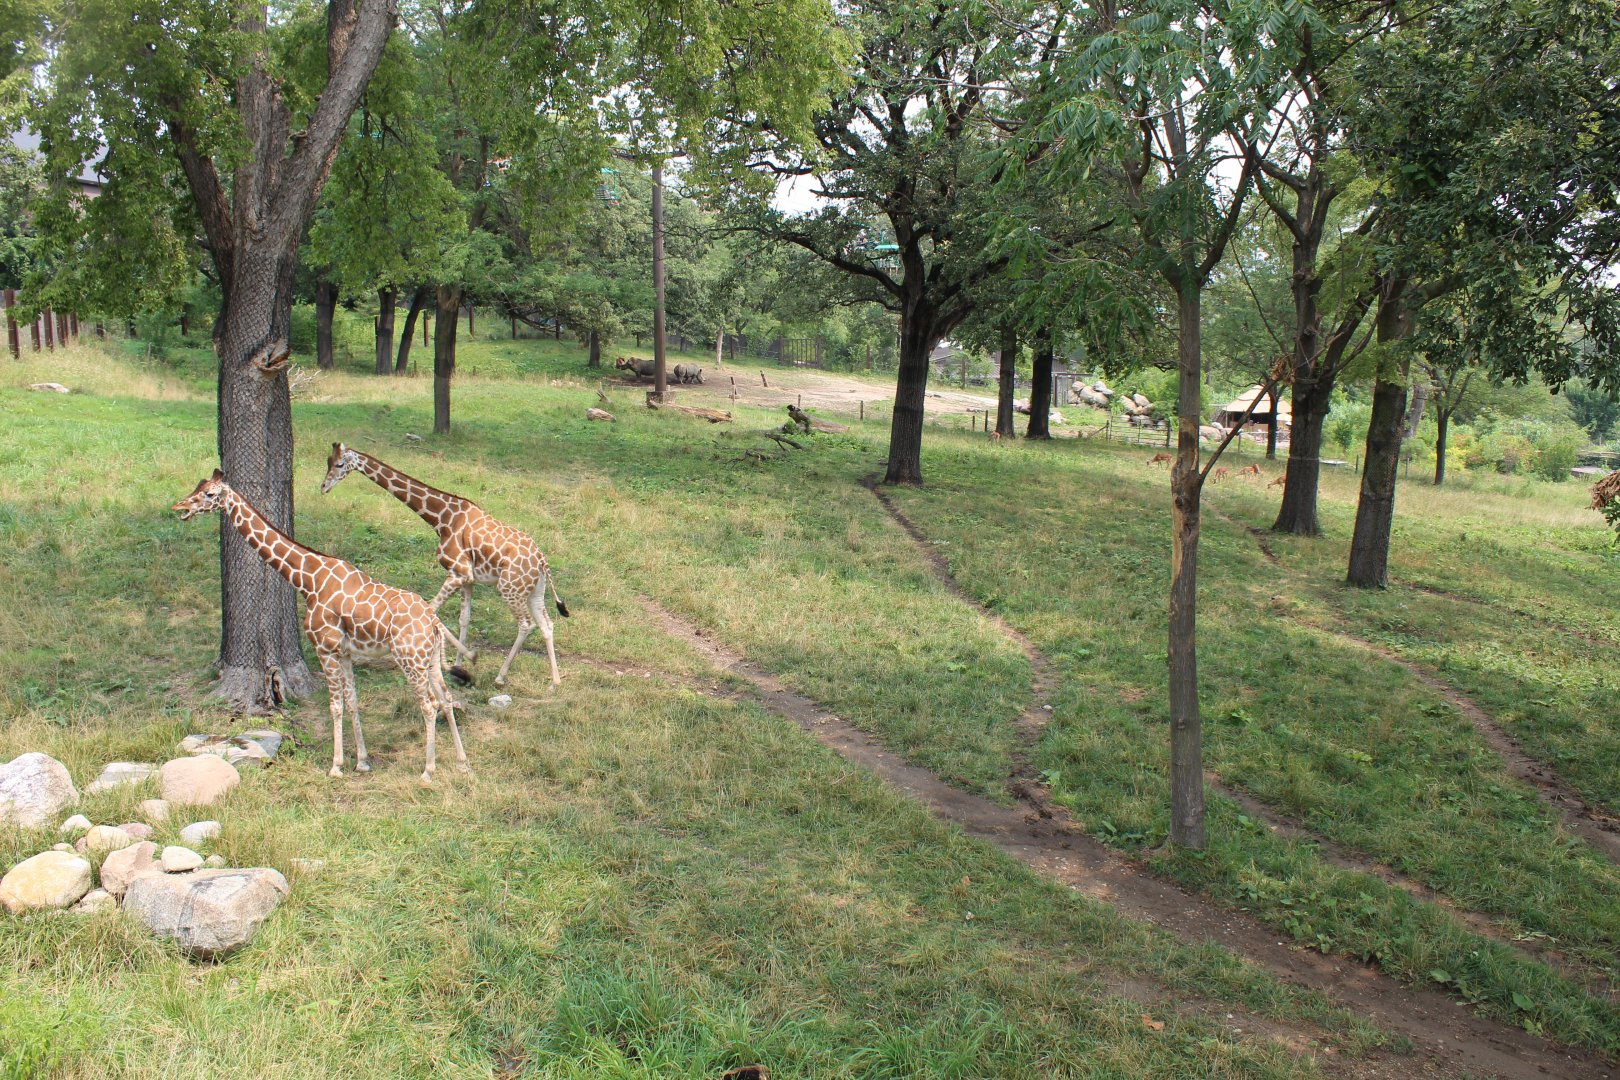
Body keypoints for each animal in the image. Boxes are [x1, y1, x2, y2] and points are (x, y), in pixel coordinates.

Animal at [173, 470, 476, 783]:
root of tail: (434, 621)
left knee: (429, 704)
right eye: (197, 486)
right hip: (429, 659)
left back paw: (428, 770)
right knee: (446, 698)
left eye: (209, 494)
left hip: (409, 660)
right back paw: (463, 763)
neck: (308, 580)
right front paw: (362, 761)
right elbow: (352, 701)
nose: (179, 507)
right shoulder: (345, 653)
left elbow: (335, 705)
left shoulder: (325, 649)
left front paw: (336, 766)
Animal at [321, 443, 569, 687]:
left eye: (340, 464)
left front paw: (456, 664)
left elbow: (432, 609)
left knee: (526, 624)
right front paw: (459, 665)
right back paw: (555, 680)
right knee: (547, 624)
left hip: (510, 589)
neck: (442, 518)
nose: (323, 487)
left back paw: (500, 677)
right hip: (534, 591)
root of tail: (542, 561)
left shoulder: (458, 573)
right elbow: (464, 619)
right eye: (328, 461)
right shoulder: (468, 578)